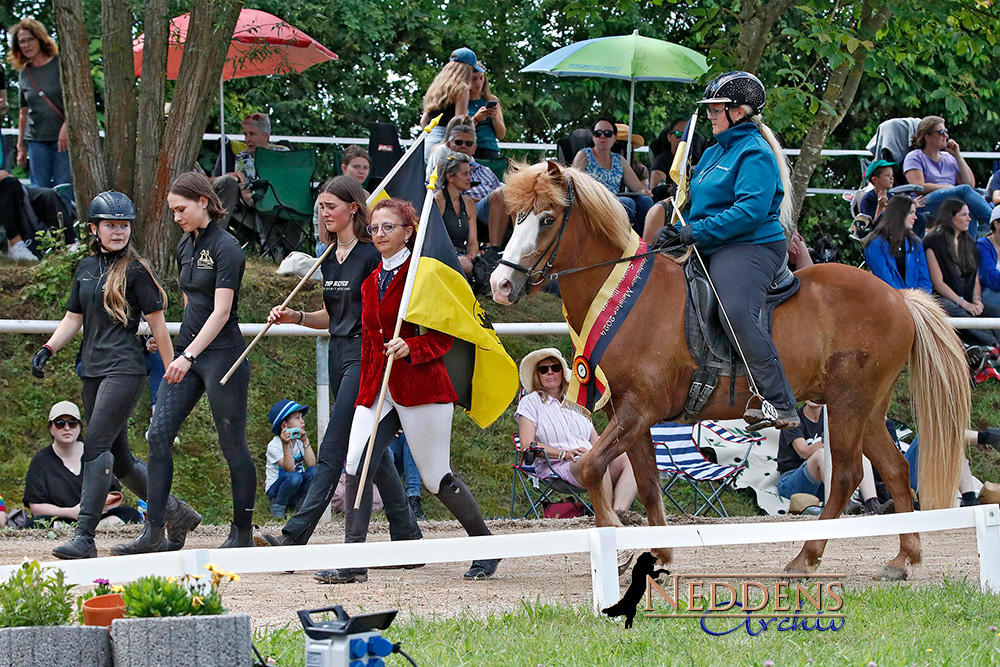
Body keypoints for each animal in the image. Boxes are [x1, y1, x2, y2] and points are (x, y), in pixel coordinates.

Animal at [488, 160, 972, 580]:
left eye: (547, 219)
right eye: (517, 217)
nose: (500, 285)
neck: (626, 298)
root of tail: (898, 297)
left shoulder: (639, 410)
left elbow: (590, 468)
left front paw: (615, 543)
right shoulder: (630, 416)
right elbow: (647, 483)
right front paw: (657, 553)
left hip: (849, 405)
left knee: (850, 476)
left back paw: (806, 558)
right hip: (867, 410)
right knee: (894, 469)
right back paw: (902, 558)